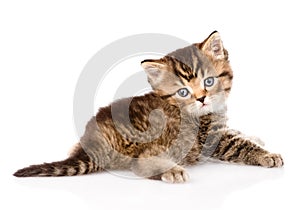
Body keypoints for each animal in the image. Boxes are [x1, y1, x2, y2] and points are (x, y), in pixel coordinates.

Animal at [14, 31, 282, 184]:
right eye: (183, 92)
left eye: (209, 81)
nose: (202, 99)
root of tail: (93, 143)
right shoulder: (210, 138)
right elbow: (237, 144)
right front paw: (267, 155)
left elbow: (237, 132)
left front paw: (254, 136)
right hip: (159, 140)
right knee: (140, 163)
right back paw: (171, 171)